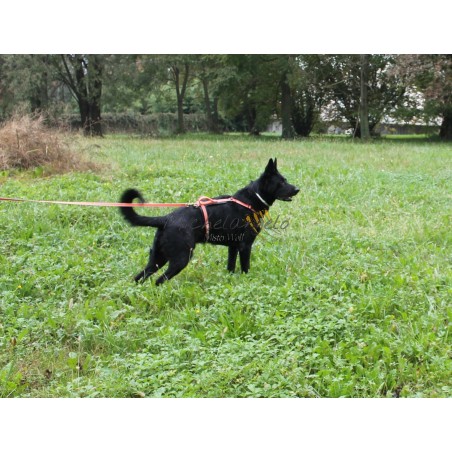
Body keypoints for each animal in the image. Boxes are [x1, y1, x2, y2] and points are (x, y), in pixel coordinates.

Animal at [120, 158, 299, 285]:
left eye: (285, 179)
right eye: (281, 182)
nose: (297, 189)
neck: (252, 199)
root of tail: (166, 219)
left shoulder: (233, 247)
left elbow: (231, 267)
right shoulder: (245, 246)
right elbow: (245, 268)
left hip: (158, 258)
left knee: (139, 278)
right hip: (180, 258)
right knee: (159, 280)